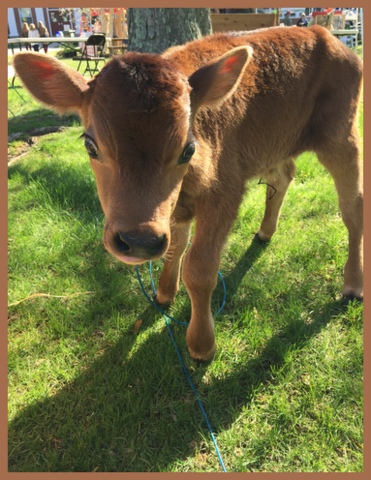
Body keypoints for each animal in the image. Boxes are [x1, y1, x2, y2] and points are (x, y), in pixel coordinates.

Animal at [13, 25, 364, 360]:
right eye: (90, 145)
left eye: (188, 149)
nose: (137, 241)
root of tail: (333, 40)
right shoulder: (173, 212)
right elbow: (176, 245)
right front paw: (164, 293)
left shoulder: (225, 193)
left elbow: (199, 268)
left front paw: (202, 345)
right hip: (278, 145)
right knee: (284, 175)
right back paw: (264, 232)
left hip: (342, 139)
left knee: (353, 209)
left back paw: (353, 284)